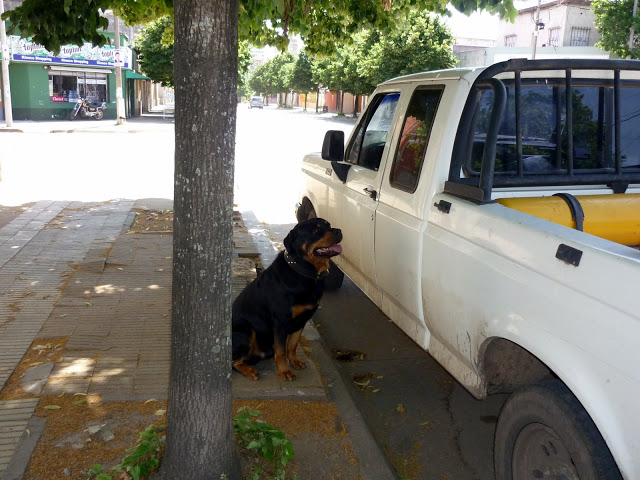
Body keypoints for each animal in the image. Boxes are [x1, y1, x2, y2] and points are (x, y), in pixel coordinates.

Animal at [232, 219, 342, 380]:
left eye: (329, 225)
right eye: (316, 231)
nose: (339, 231)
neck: (306, 273)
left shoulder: (302, 320)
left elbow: (292, 345)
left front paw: (294, 362)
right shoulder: (280, 322)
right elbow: (281, 350)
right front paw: (284, 371)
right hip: (247, 329)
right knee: (234, 361)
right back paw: (249, 370)